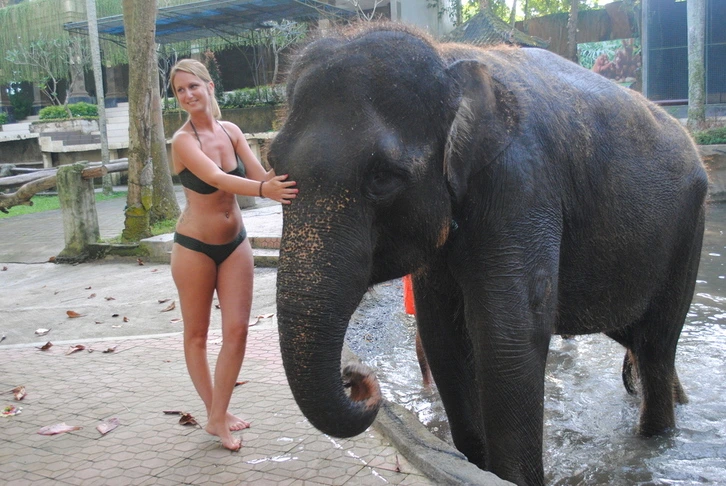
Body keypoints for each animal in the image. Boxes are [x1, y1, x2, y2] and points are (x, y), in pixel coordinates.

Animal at [268, 23, 708, 486]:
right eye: (272, 164)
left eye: (382, 177)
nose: (356, 378)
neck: (448, 60)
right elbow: (443, 335)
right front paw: (476, 463)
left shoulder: (521, 187)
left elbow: (507, 334)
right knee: (635, 336)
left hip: (688, 230)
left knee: (656, 343)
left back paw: (656, 438)